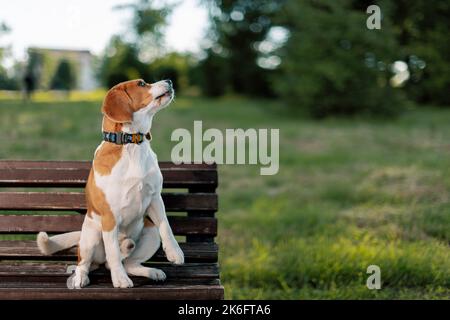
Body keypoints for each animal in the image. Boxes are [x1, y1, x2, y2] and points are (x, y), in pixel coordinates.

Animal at [37, 79, 184, 288]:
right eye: (141, 83)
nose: (169, 81)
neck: (131, 145)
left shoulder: (155, 197)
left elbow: (166, 226)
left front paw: (174, 252)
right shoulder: (110, 216)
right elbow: (113, 253)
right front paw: (120, 279)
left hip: (151, 235)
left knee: (129, 263)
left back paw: (149, 269)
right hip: (90, 237)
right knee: (87, 262)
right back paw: (80, 277)